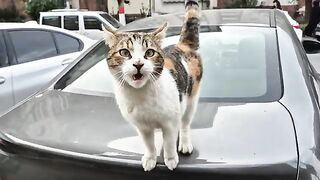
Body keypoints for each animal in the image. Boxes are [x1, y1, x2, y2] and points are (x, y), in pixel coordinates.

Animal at [103, 0, 202, 172]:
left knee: (185, 122)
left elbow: (169, 142)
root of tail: (182, 46)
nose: (138, 64)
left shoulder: (169, 122)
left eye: (149, 53)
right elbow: (148, 144)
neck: (141, 95)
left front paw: (170, 159)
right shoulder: (142, 127)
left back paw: (184, 142)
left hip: (191, 97)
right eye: (124, 52)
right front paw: (150, 158)